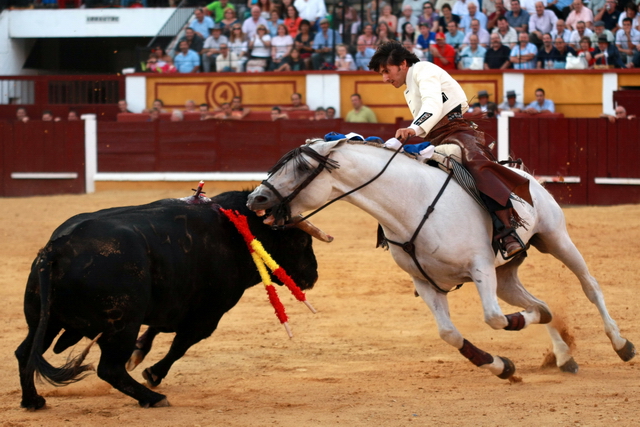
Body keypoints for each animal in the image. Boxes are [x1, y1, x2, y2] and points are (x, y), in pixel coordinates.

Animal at [13, 191, 316, 412]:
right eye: (301, 242)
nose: (313, 275)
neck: (235, 231)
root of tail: (57, 248)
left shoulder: (172, 302)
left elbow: (158, 331)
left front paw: (140, 355)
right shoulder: (208, 315)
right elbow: (180, 345)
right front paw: (153, 374)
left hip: (45, 320)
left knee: (25, 353)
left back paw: (33, 401)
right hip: (123, 323)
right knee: (109, 368)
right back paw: (152, 398)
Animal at [246, 139, 636, 380]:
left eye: (300, 169)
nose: (255, 199)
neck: (410, 205)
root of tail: (521, 173)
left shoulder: (480, 267)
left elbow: (494, 318)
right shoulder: (426, 283)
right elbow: (450, 333)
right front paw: (502, 367)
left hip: (556, 238)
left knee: (590, 286)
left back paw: (622, 345)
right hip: (506, 274)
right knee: (537, 301)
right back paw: (564, 356)